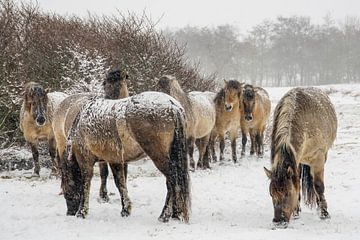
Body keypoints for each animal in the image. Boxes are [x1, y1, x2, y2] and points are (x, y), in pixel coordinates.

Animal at [52, 70, 132, 202]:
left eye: (120, 83)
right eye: (104, 83)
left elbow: (124, 174)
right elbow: (104, 172)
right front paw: (103, 195)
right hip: (62, 143)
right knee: (63, 165)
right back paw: (64, 189)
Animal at [60, 91, 191, 222]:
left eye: (66, 191)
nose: (69, 212)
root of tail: (172, 105)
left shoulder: (85, 161)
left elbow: (85, 184)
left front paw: (82, 212)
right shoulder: (115, 161)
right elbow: (120, 183)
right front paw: (125, 209)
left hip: (159, 157)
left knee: (172, 182)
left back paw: (165, 215)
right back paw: (175, 214)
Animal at [264, 87, 338, 228]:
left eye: (287, 193)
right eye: (271, 193)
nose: (279, 222)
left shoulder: (318, 158)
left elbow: (318, 186)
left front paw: (324, 214)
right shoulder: (295, 160)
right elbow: (297, 184)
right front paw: (296, 213)